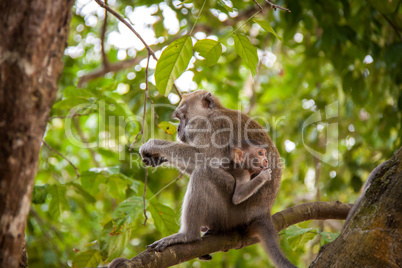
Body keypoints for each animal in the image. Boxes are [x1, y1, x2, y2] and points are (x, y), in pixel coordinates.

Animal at [140, 90, 296, 268]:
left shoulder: (215, 128)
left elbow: (205, 159)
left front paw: (154, 145)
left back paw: (187, 236)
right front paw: (158, 157)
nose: (178, 129)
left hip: (234, 212)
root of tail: (263, 213)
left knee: (203, 173)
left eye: (183, 116)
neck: (210, 115)